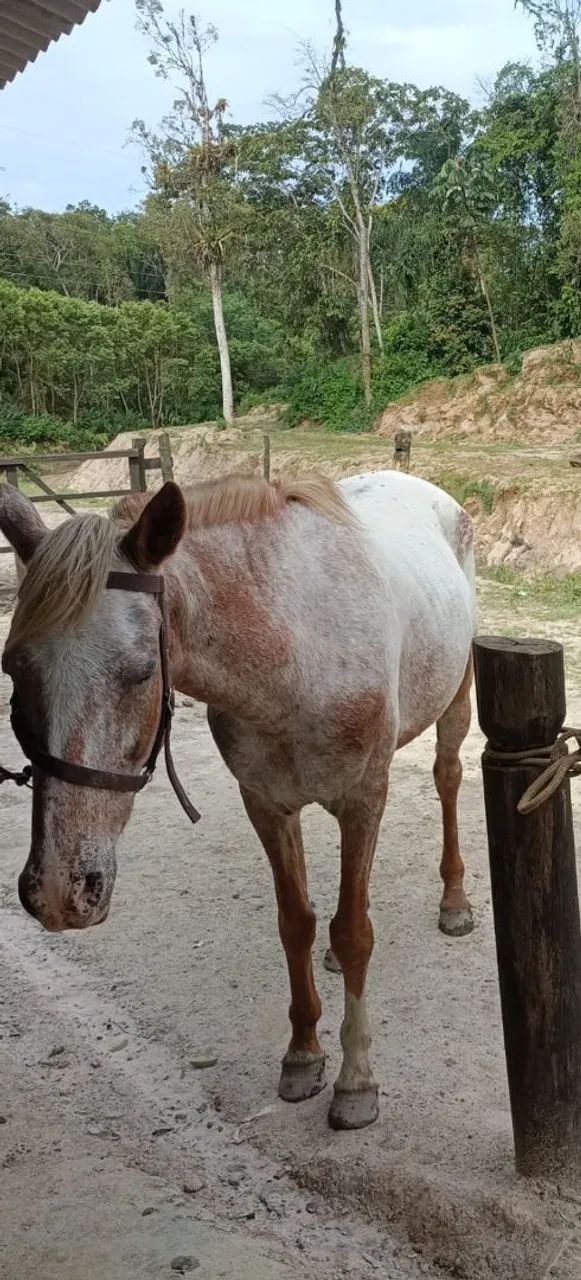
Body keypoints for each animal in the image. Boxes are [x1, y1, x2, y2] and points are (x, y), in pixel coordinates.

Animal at [0, 468, 476, 1131]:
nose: (56, 892)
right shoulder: (267, 805)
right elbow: (297, 924)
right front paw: (303, 1055)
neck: (292, 648)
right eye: (13, 669)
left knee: (447, 777)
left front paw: (356, 1080)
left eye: (142, 672)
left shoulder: (363, 797)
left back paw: (455, 902)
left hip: (456, 699)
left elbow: (354, 930)